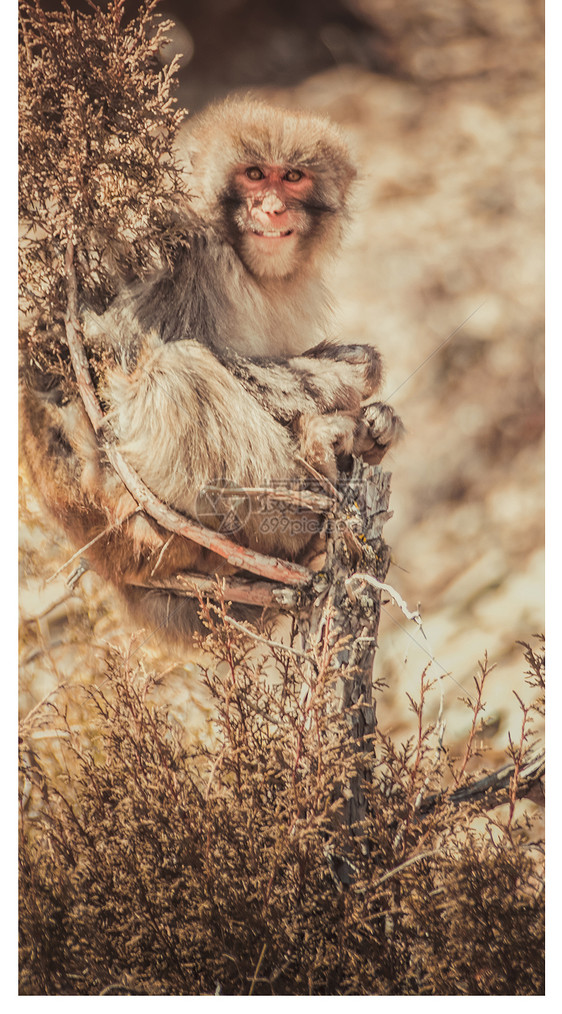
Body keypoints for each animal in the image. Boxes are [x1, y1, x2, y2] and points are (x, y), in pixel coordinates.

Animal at [19, 98, 399, 644]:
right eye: (255, 174)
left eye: (293, 177)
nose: (272, 208)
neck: (238, 254)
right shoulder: (183, 252)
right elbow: (117, 351)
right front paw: (352, 374)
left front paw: (378, 415)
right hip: (136, 519)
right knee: (177, 372)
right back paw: (301, 500)